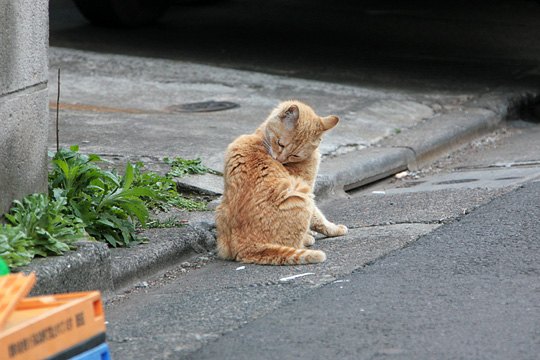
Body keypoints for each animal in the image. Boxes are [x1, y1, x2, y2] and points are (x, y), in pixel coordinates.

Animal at [216, 100, 348, 264]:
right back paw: (307, 238)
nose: (279, 160)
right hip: (299, 193)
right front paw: (334, 229)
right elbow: (319, 218)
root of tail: (244, 246)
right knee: (294, 243)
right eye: (280, 144)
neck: (260, 136)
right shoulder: (308, 189)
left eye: (295, 155)